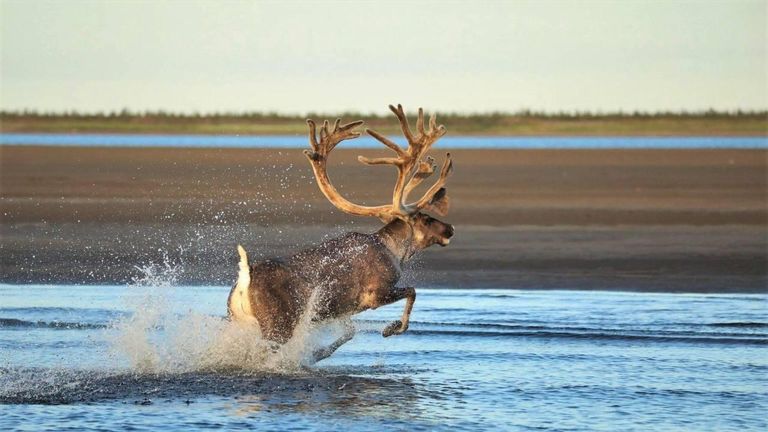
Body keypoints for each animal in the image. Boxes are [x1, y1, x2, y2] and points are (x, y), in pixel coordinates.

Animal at [227, 104, 454, 363]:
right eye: (426, 218)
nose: (451, 229)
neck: (395, 252)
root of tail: (245, 278)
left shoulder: (340, 310)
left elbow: (349, 332)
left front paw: (318, 353)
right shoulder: (375, 294)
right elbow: (412, 292)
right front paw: (392, 328)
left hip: (237, 320)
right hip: (278, 325)